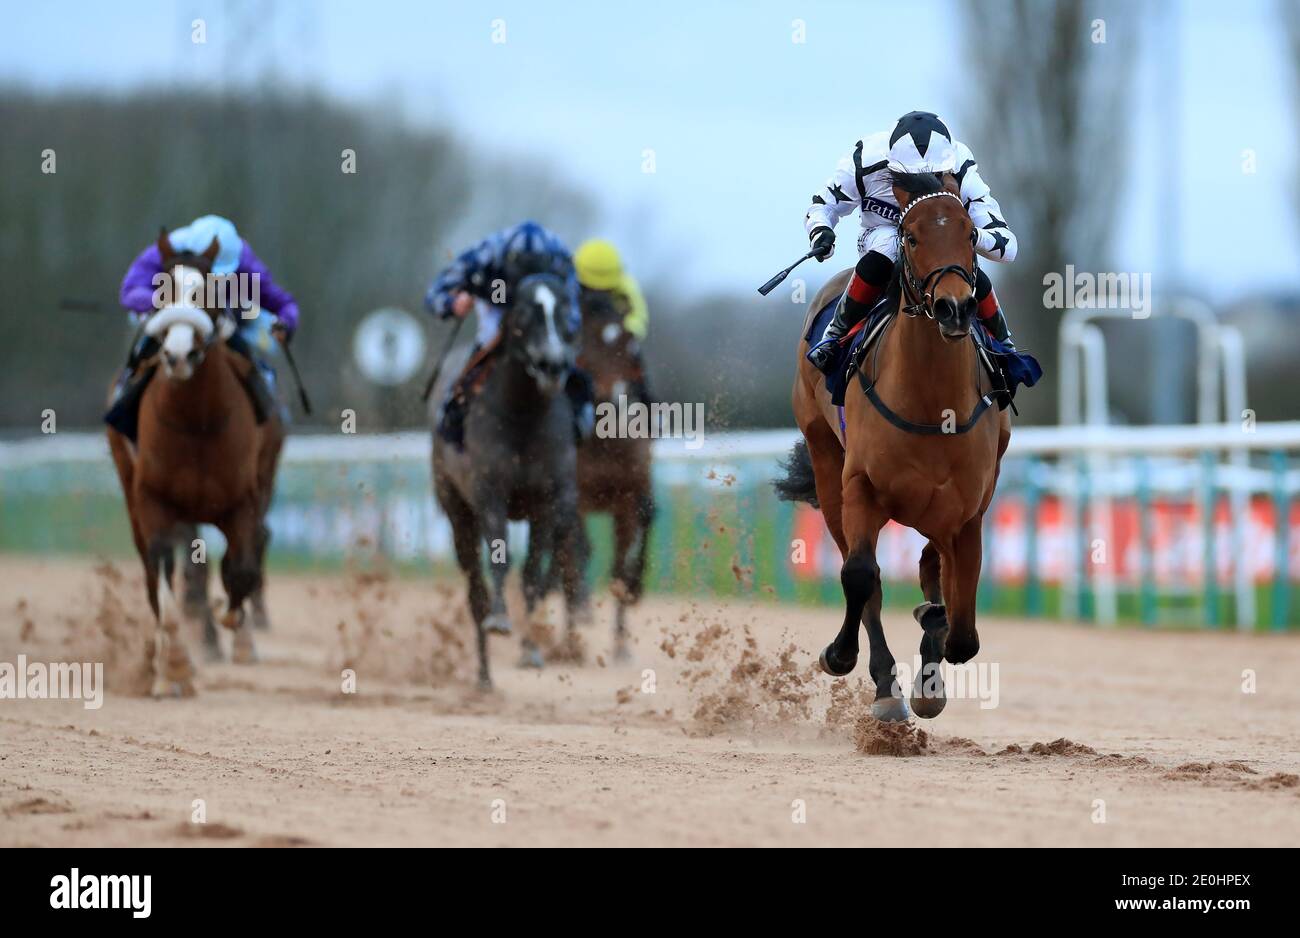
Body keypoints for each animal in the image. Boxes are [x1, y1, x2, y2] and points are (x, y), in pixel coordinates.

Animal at [109, 228, 274, 691]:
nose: (179, 354)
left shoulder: (243, 499)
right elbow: (162, 580)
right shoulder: (153, 500)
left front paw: (234, 623)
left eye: (211, 291)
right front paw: (175, 669)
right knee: (155, 574)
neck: (197, 422)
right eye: (159, 291)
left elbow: (241, 568)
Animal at [774, 171, 1008, 722]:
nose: (954, 307)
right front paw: (844, 657)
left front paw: (931, 658)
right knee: (869, 581)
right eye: (912, 237)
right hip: (826, 466)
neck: (933, 408)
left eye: (971, 233)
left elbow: (962, 628)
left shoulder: (969, 510)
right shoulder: (861, 487)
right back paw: (885, 688)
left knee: (931, 569)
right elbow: (862, 578)